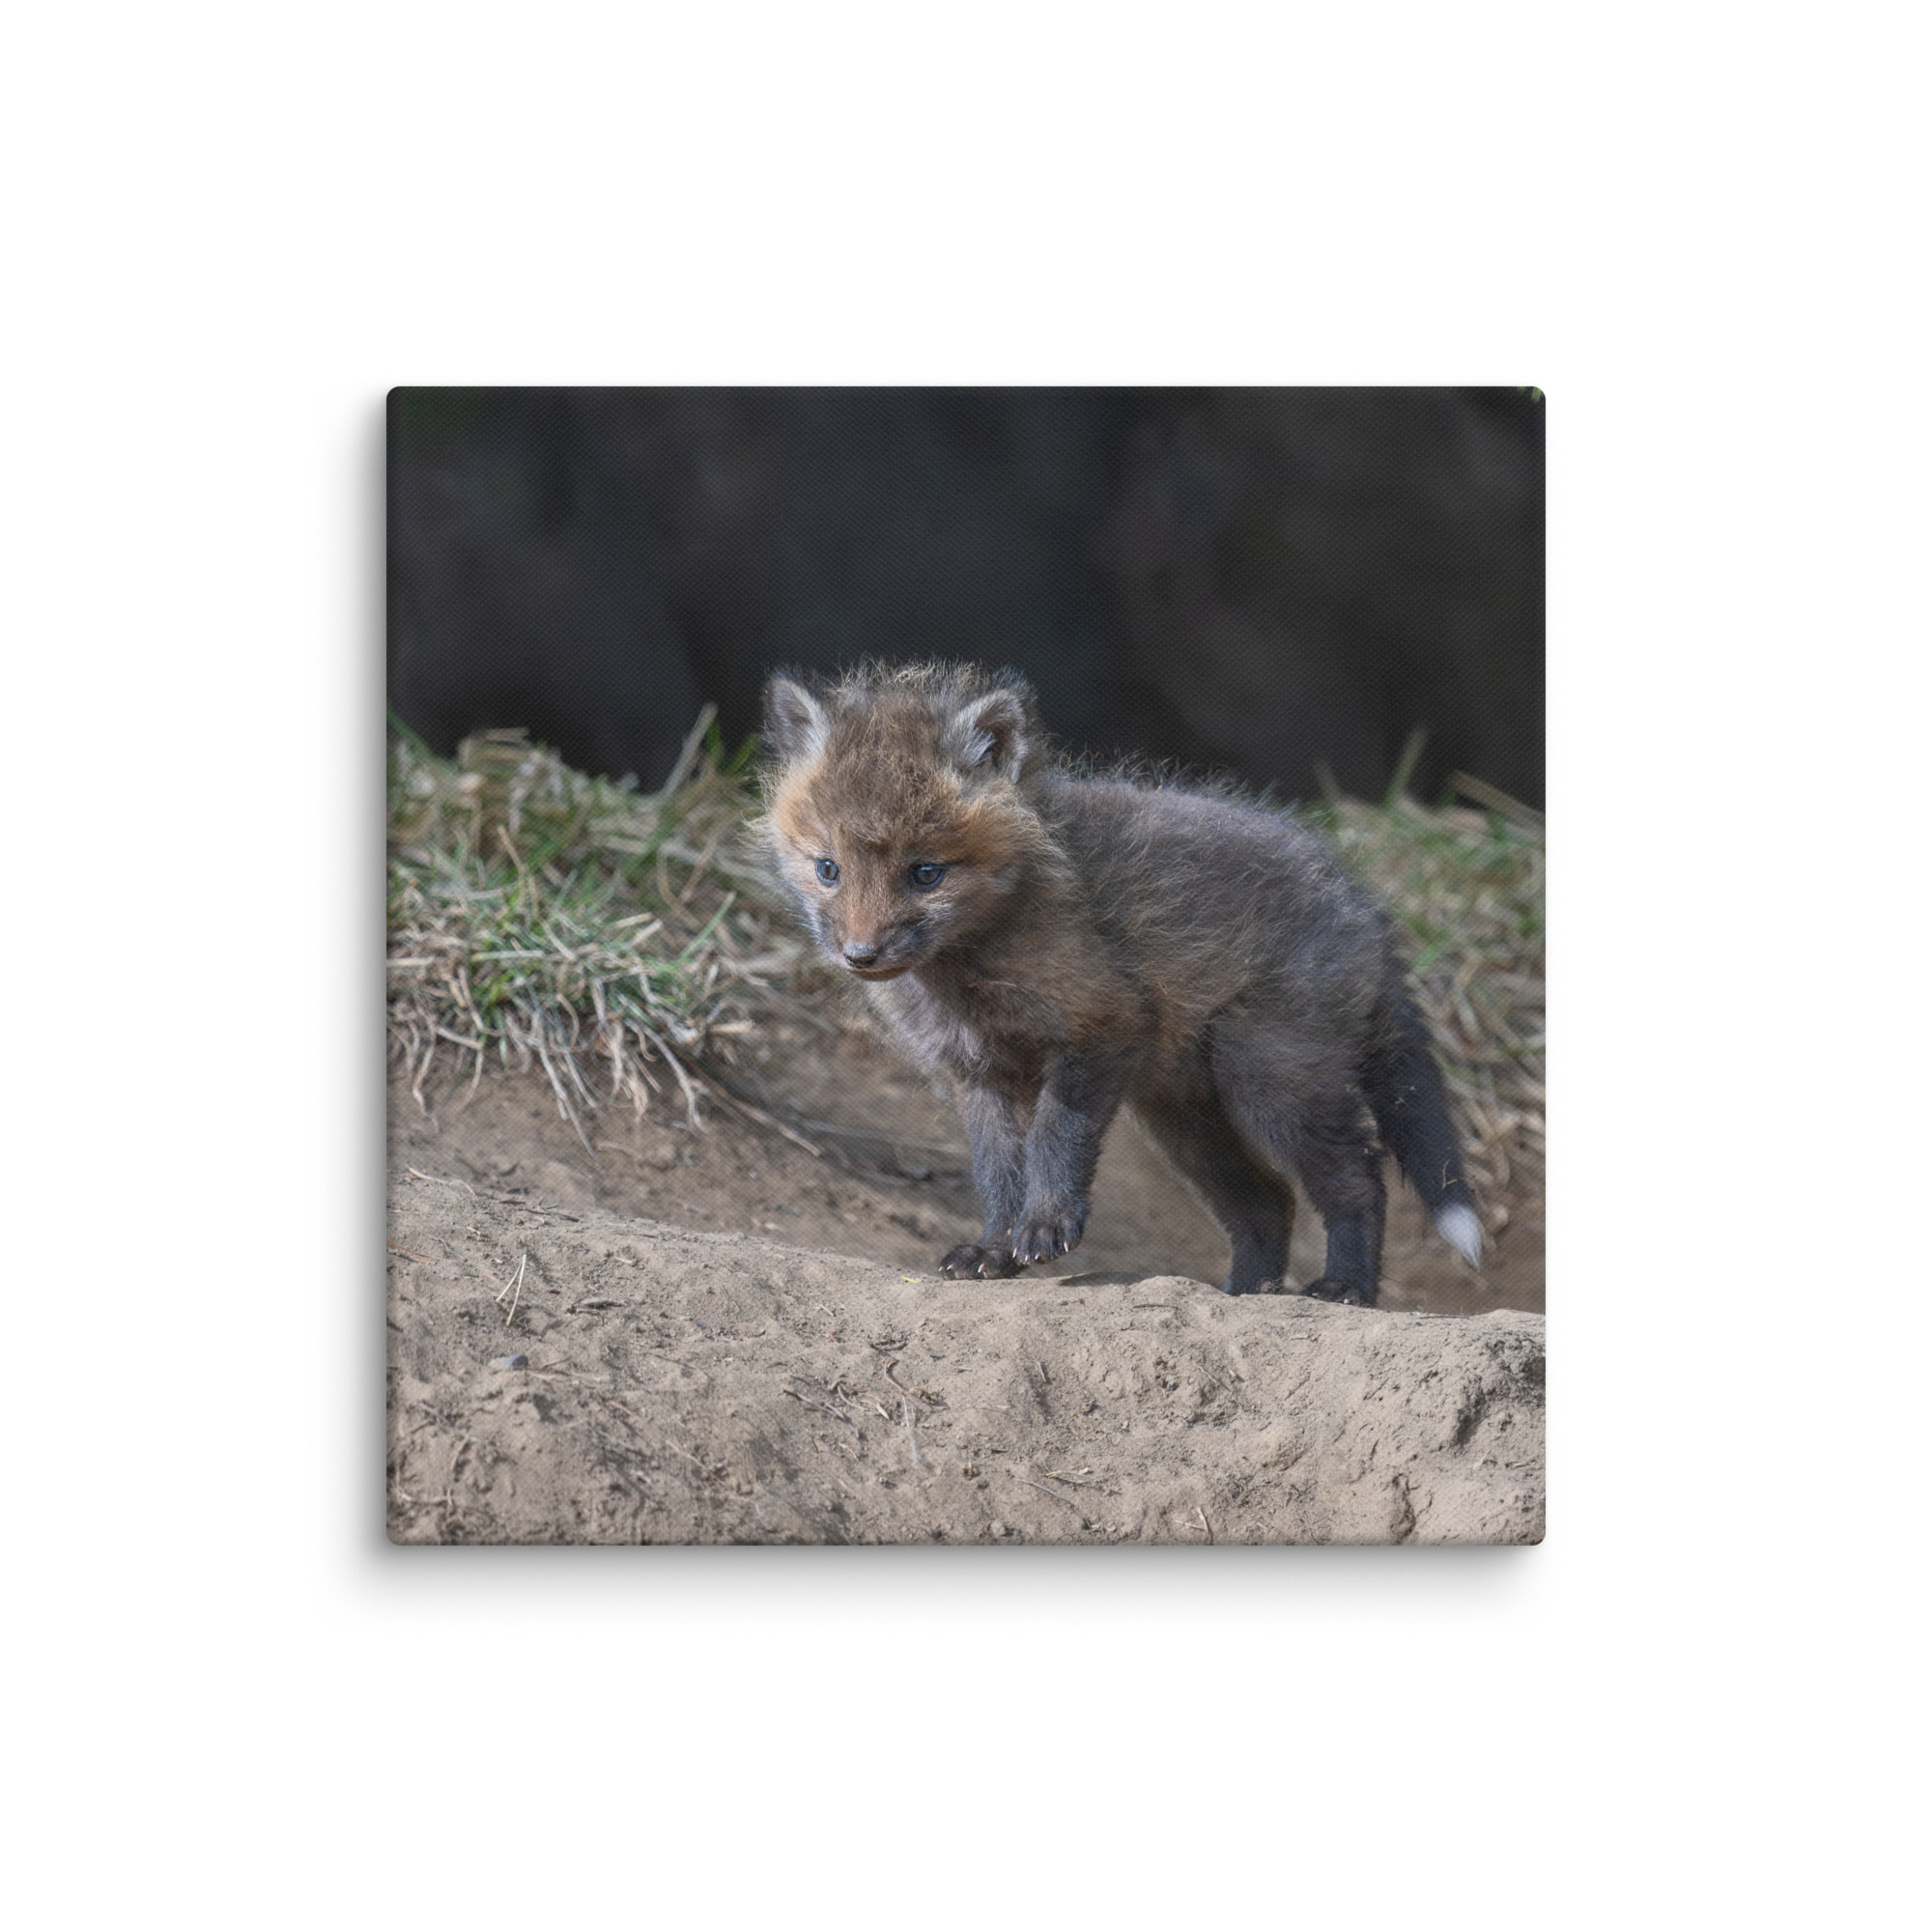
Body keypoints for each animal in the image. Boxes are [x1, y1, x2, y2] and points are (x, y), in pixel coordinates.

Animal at [758, 660, 1482, 1306]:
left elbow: (1055, 1138)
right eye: (828, 869)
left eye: (925, 873)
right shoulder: (979, 1073)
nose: (860, 955)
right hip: (1185, 1117)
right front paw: (994, 1249)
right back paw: (1246, 1293)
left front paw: (1045, 1226)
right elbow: (997, 1173)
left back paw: (1346, 1287)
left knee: (1358, 1178)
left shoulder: (1101, 1026)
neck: (969, 976)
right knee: (1268, 1201)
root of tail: (1365, 906)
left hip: (1270, 1082)